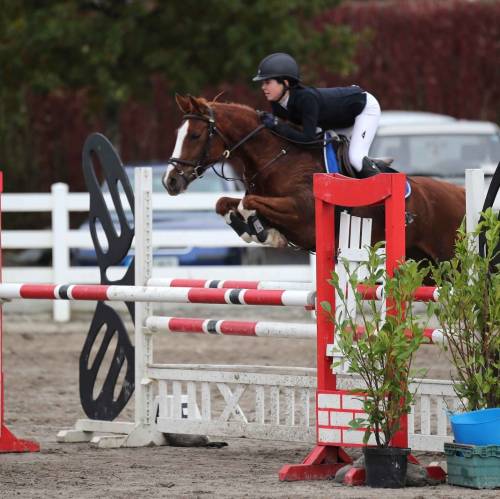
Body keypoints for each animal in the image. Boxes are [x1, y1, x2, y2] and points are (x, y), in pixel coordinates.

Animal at [163, 94, 464, 266]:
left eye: (195, 136)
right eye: (177, 133)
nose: (170, 182)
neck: (278, 158)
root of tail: (461, 193)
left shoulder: (302, 213)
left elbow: (248, 203)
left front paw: (265, 233)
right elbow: (223, 202)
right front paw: (253, 230)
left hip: (450, 259)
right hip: (425, 263)